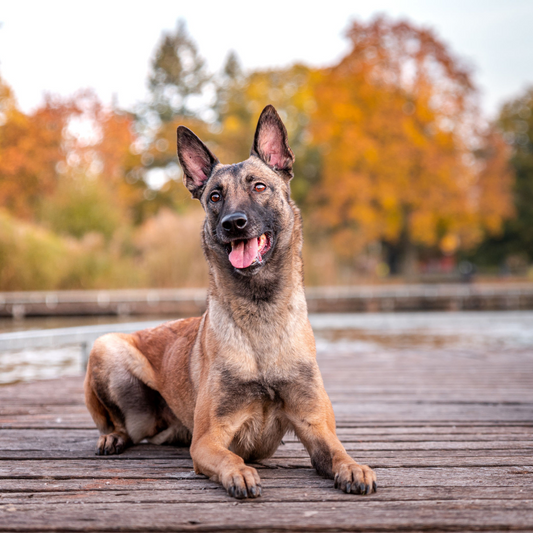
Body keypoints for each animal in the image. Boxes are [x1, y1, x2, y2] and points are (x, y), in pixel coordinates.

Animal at [84, 105, 374, 498]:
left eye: (259, 186)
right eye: (214, 197)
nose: (233, 224)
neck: (261, 311)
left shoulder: (315, 425)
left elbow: (337, 451)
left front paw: (354, 467)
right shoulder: (208, 439)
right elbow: (230, 457)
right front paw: (240, 473)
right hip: (105, 346)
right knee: (116, 424)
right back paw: (112, 437)